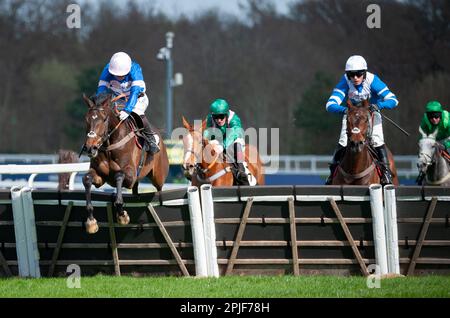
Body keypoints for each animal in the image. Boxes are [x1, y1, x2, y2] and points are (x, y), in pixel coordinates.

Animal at [81, 93, 169, 232]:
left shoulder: (130, 175)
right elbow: (87, 179)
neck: (109, 145)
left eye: (104, 119)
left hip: (158, 176)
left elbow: (119, 174)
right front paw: (91, 221)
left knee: (159, 191)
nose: (90, 148)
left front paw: (122, 215)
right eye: (86, 119)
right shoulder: (100, 177)